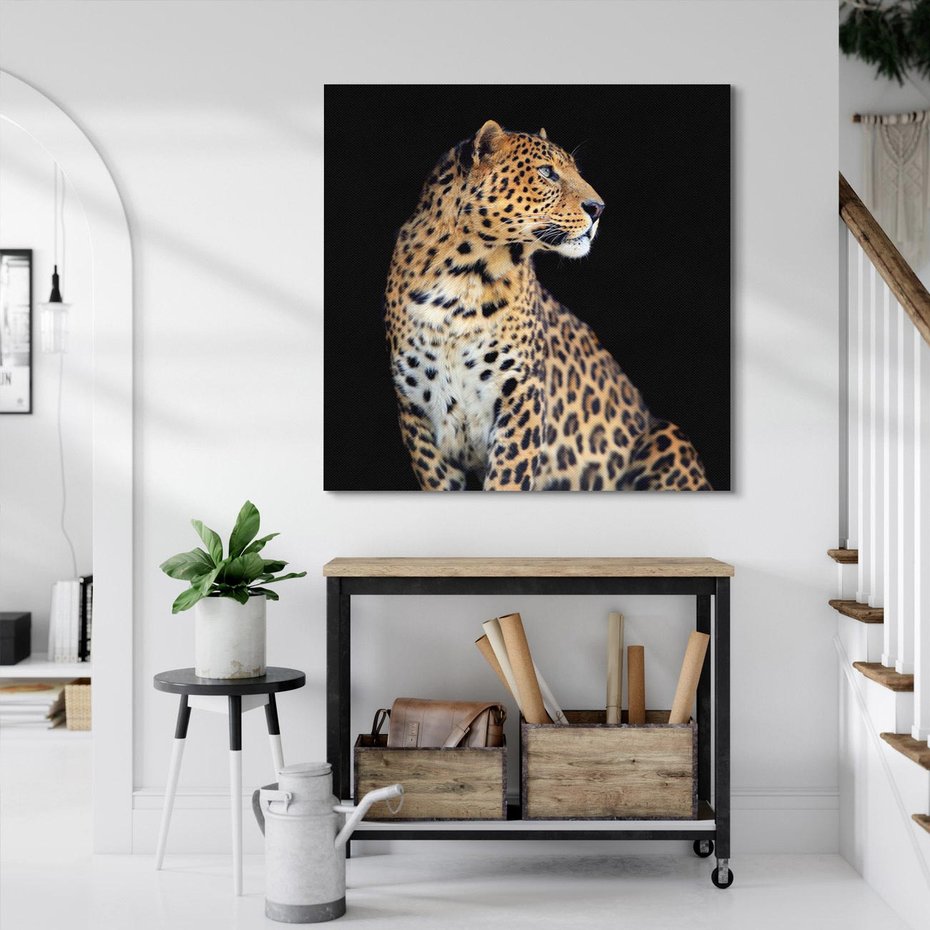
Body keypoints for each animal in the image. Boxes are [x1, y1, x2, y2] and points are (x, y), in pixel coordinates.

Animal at [384, 120, 712, 491]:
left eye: (575, 171)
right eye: (546, 173)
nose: (598, 208)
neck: (461, 277)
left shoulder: (521, 395)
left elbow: (507, 481)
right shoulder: (417, 414)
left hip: (666, 435)